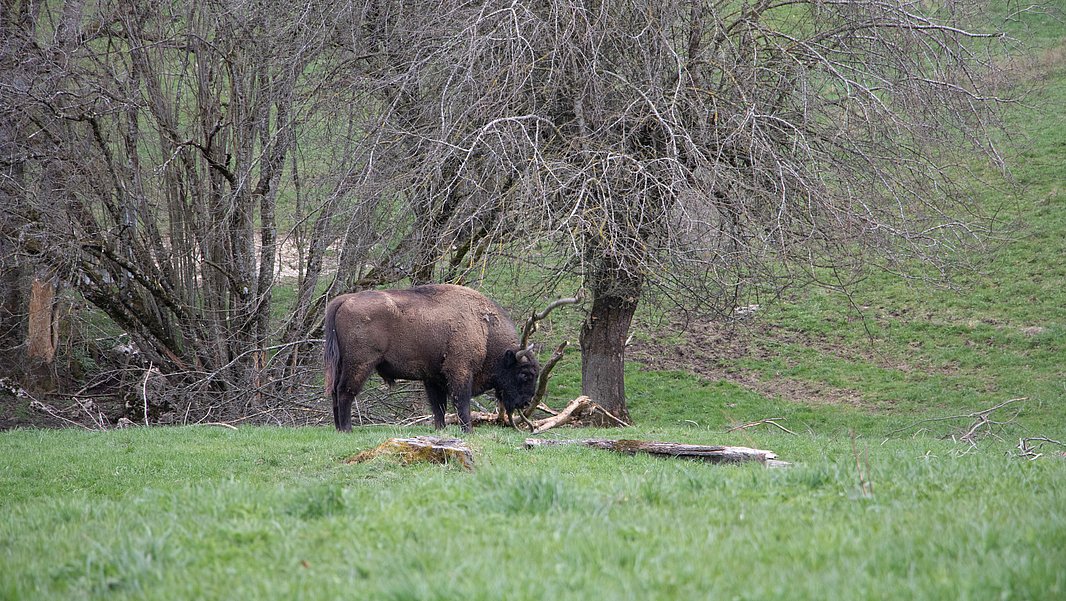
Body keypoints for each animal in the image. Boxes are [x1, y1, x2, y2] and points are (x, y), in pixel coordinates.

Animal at [324, 284, 540, 432]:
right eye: (525, 374)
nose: (526, 403)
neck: (485, 329)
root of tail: (344, 300)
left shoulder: (433, 378)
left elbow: (439, 407)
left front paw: (441, 429)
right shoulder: (459, 371)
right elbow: (461, 402)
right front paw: (468, 431)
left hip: (342, 364)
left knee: (334, 391)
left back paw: (338, 428)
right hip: (360, 364)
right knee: (345, 391)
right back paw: (347, 429)